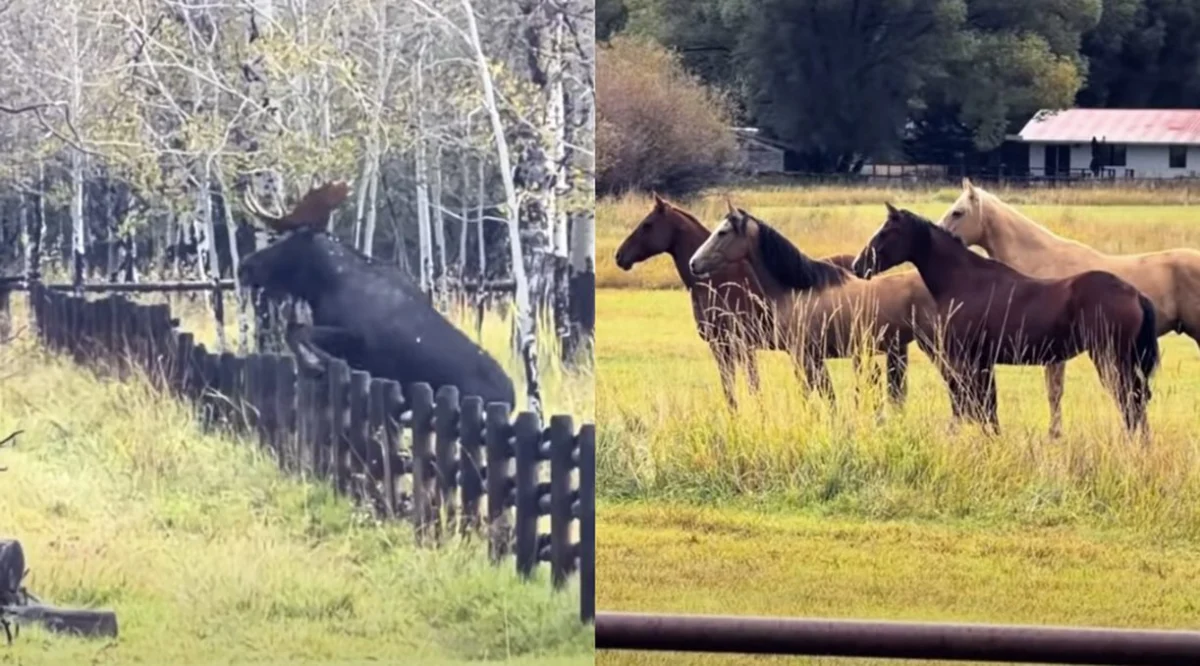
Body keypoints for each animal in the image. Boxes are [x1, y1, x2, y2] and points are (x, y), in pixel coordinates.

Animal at [237, 180, 516, 408]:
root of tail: (512, 399)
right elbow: (295, 330)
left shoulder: (358, 337)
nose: (244, 266)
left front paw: (319, 365)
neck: (324, 285)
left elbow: (298, 332)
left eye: (285, 240)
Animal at [614, 194, 855, 408]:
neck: (717, 282)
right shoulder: (724, 347)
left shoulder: (739, 346)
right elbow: (730, 391)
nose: (619, 256)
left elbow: (752, 389)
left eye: (647, 225)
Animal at [687, 200, 938, 406]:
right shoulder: (811, 357)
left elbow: (813, 395)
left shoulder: (804, 356)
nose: (693, 263)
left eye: (722, 232)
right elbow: (826, 395)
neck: (798, 291)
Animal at [853, 203, 1159, 436]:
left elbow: (979, 406)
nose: (858, 265)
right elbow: (986, 407)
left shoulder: (971, 359)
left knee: (1129, 401)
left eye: (888, 232)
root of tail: (1135, 294)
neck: (966, 281)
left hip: (1110, 358)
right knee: (1136, 401)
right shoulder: (983, 360)